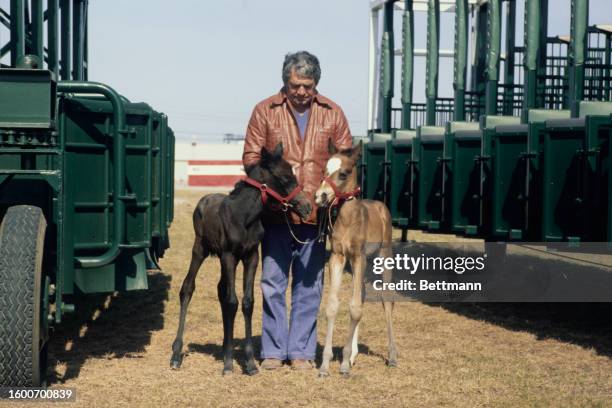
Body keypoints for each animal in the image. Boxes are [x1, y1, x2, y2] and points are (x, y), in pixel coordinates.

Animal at [316, 142, 396, 378]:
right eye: (324, 169)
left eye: (343, 173)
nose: (320, 196)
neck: (348, 220)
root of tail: (380, 206)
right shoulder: (338, 257)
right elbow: (334, 305)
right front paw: (326, 365)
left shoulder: (358, 257)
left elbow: (355, 308)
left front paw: (343, 365)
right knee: (361, 294)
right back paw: (353, 355)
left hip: (383, 255)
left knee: (386, 299)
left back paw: (392, 357)